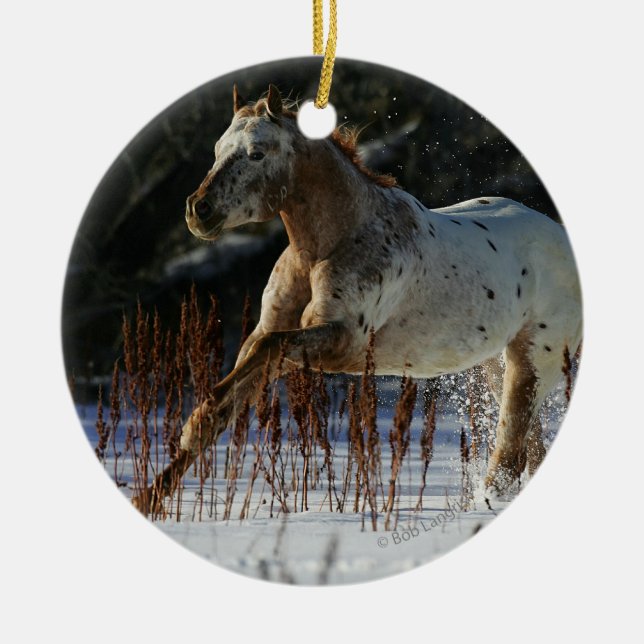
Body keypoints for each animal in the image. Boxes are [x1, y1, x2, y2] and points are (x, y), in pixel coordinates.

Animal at [132, 84, 582, 514]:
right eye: (217, 150)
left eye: (256, 153)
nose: (198, 210)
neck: (331, 243)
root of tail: (562, 237)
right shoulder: (273, 331)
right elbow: (236, 388)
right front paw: (149, 497)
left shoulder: (341, 342)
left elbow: (266, 351)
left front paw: (190, 426)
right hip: (494, 365)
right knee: (527, 452)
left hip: (530, 365)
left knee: (508, 457)